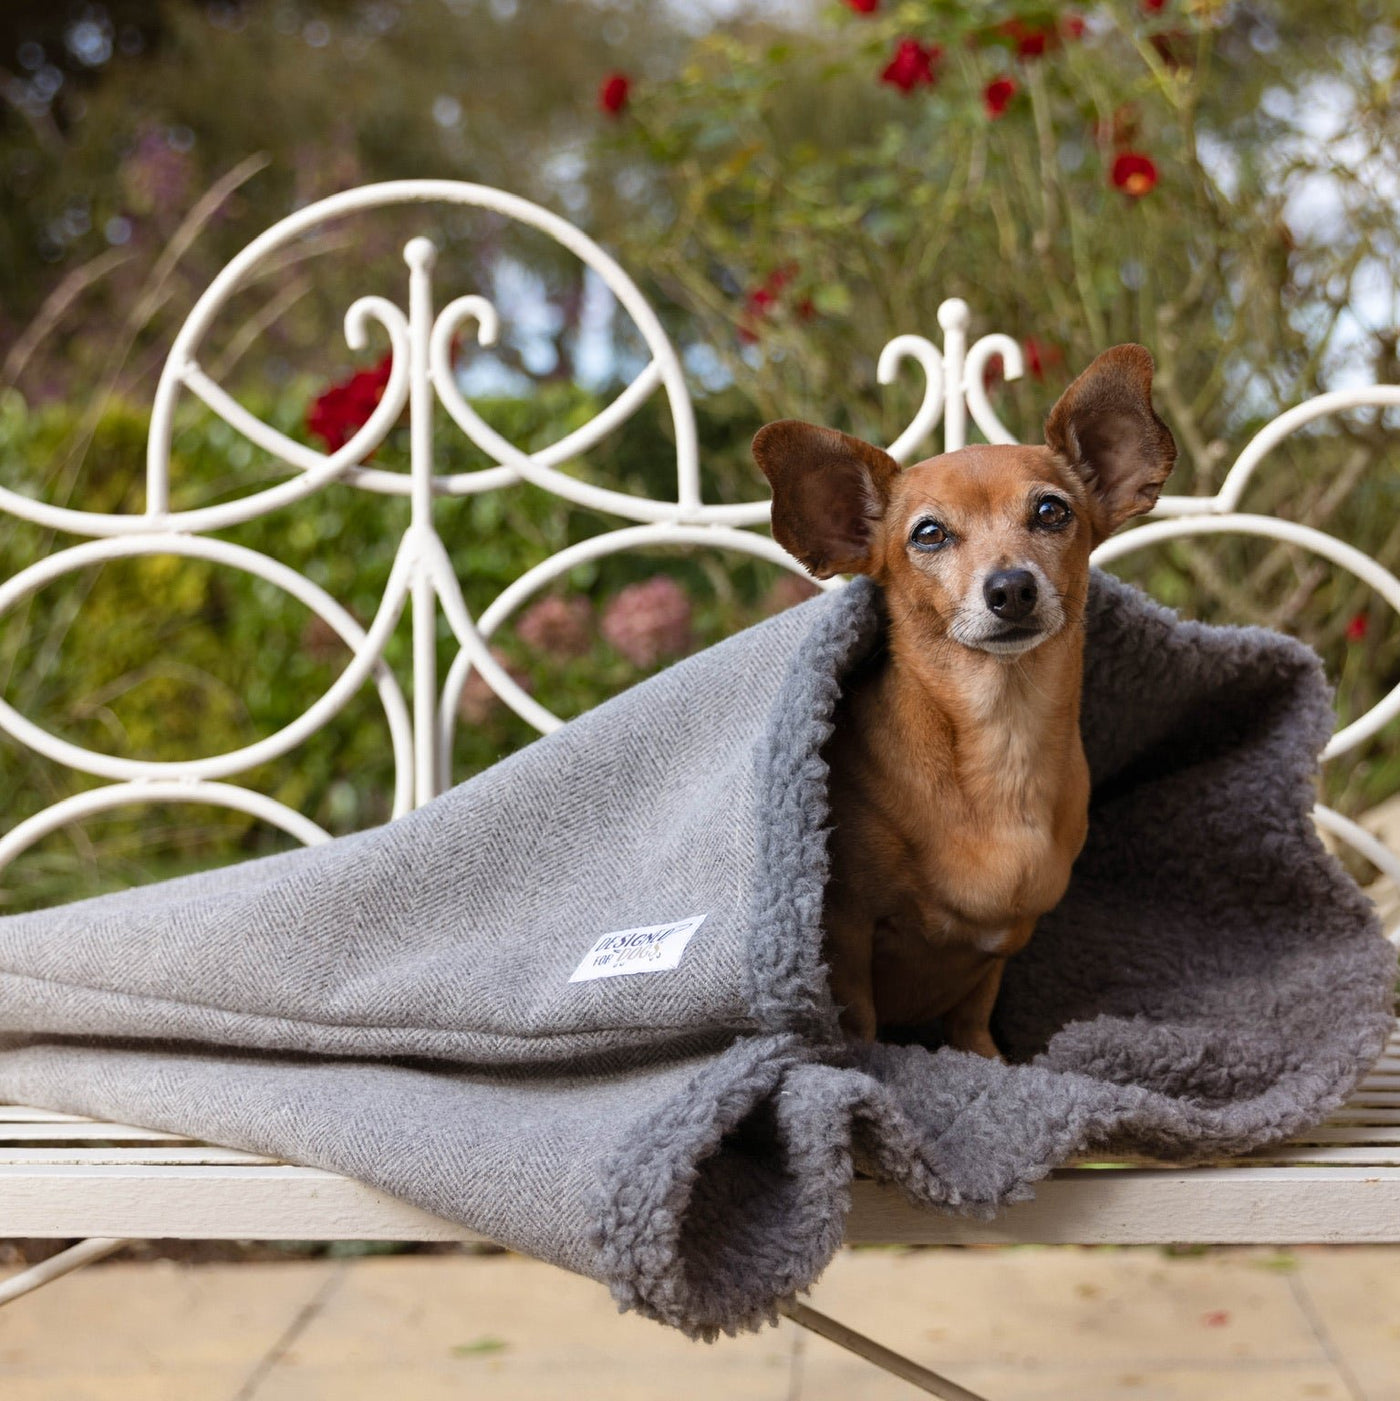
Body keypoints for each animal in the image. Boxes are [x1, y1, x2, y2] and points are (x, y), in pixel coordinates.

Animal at [751, 344, 1177, 1053]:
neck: (1002, 736)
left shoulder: (999, 950)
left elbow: (971, 1019)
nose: (1011, 588)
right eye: (928, 534)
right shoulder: (845, 933)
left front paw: (985, 1060)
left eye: (1052, 512)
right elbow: (859, 1022)